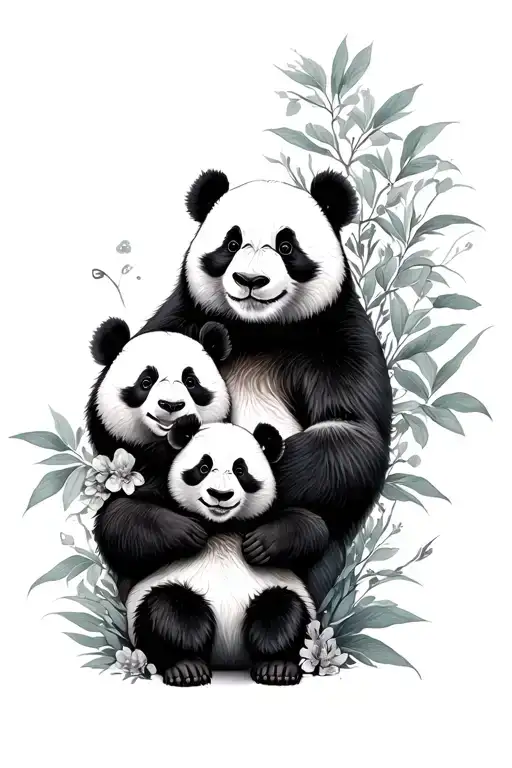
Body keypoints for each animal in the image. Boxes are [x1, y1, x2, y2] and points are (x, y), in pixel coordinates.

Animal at [126, 415, 327, 687]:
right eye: (203, 467)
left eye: (240, 470)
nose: (220, 494)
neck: (221, 525)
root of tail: (227, 657)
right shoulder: (157, 491)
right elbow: (123, 518)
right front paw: (189, 533)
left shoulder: (274, 506)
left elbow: (313, 527)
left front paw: (260, 544)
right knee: (168, 610)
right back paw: (186, 667)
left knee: (283, 610)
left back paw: (276, 667)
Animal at [137, 169, 393, 606]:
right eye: (232, 243)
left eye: (287, 246)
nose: (250, 280)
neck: (259, 330)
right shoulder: (182, 319)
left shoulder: (339, 336)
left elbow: (348, 433)